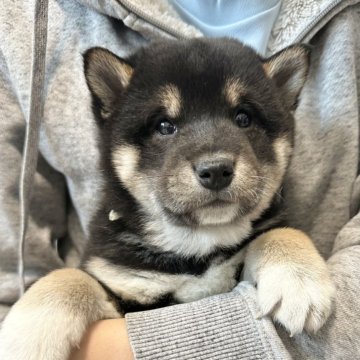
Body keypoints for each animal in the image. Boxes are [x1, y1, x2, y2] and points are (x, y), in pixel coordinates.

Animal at [0, 38, 334, 360]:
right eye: (164, 125)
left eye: (243, 118)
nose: (216, 170)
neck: (196, 248)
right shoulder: (125, 286)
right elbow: (70, 276)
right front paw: (26, 334)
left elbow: (280, 232)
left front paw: (298, 279)